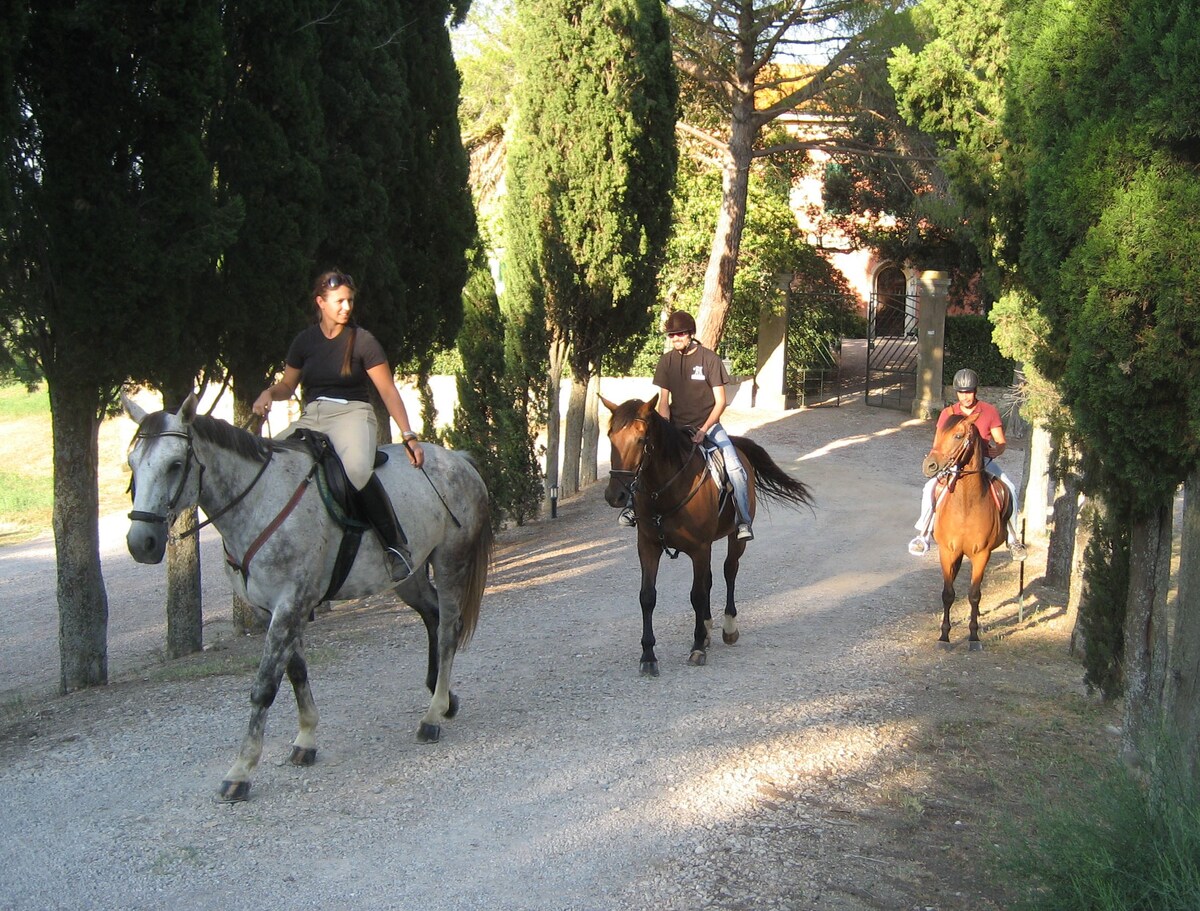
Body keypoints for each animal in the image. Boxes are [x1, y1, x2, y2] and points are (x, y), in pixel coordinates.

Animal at [125, 391, 492, 796]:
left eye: (175, 464)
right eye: (132, 464)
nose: (141, 543)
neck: (260, 501)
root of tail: (458, 460)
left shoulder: (290, 604)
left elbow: (265, 686)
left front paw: (241, 770)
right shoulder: (275, 610)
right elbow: (296, 672)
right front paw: (305, 740)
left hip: (450, 562)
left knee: (447, 631)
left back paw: (432, 715)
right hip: (409, 576)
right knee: (432, 616)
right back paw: (444, 699)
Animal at [600, 398, 816, 676]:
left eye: (640, 439)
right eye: (610, 436)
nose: (614, 495)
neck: (665, 491)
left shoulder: (699, 548)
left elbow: (697, 595)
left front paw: (697, 647)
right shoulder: (648, 546)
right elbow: (647, 596)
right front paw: (648, 655)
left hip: (734, 539)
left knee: (729, 571)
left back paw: (728, 627)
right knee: (710, 579)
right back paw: (708, 627)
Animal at [916, 410, 1012, 652]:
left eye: (958, 436)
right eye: (939, 432)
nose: (930, 466)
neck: (966, 506)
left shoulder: (981, 555)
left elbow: (974, 595)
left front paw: (974, 636)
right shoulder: (948, 551)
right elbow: (948, 594)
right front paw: (944, 636)